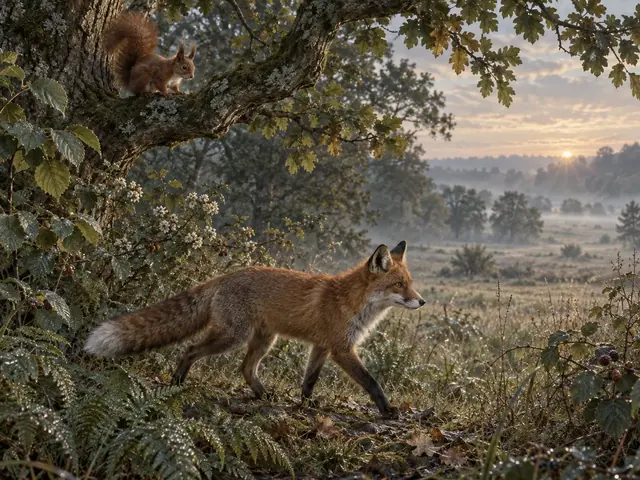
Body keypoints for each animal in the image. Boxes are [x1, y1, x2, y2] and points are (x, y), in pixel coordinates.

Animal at [84, 240, 425, 418]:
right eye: (399, 285)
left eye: (410, 283)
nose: (421, 301)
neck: (353, 303)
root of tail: (224, 277)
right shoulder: (342, 349)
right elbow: (372, 382)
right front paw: (387, 410)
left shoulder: (322, 346)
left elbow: (309, 380)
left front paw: (305, 405)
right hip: (233, 337)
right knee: (191, 349)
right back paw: (177, 382)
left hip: (264, 340)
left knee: (246, 368)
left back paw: (263, 395)